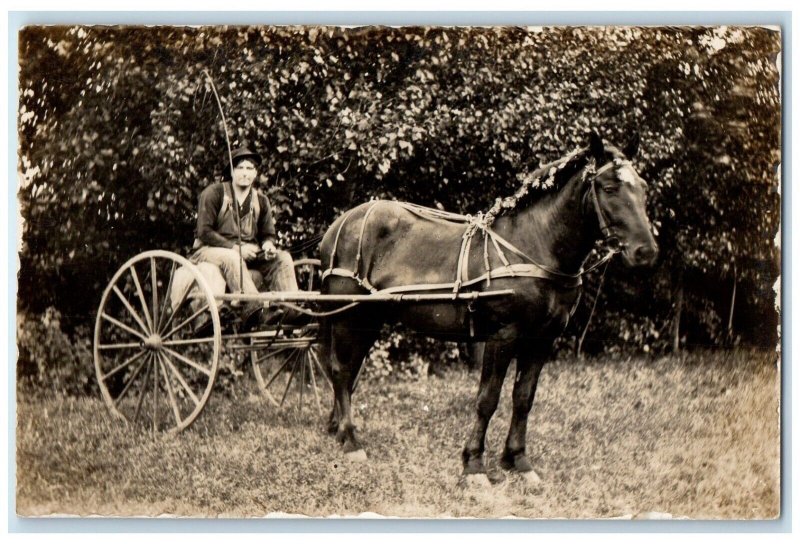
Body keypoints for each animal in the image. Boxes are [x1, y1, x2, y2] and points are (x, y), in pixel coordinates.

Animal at [316, 132, 660, 484]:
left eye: (642, 187)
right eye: (609, 187)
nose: (645, 251)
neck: (533, 245)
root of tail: (338, 225)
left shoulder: (542, 339)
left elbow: (523, 398)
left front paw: (518, 460)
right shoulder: (502, 336)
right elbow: (487, 400)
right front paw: (474, 464)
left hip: (369, 318)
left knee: (347, 371)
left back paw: (338, 429)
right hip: (349, 315)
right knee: (340, 370)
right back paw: (351, 440)